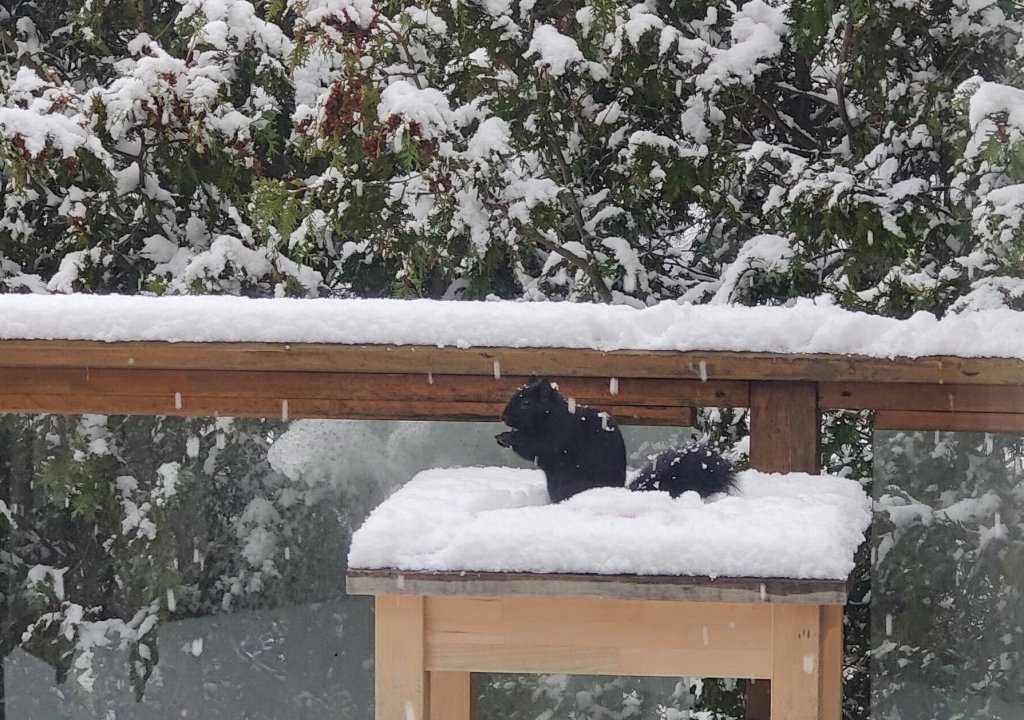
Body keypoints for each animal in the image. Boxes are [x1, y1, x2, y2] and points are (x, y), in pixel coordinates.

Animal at [497, 376, 736, 503]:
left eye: (526, 404)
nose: (504, 417)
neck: (552, 415)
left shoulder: (560, 434)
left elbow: (536, 447)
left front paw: (507, 436)